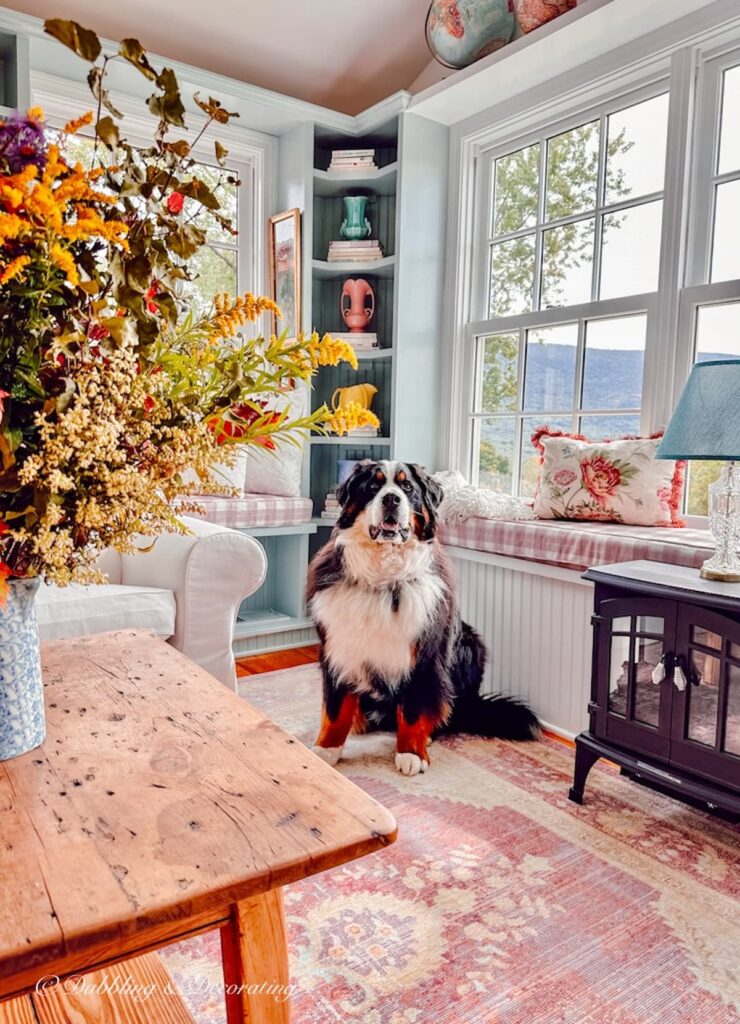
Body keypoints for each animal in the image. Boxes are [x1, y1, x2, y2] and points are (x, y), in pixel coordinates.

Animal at [307, 458, 540, 774]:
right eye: (373, 486)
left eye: (407, 488)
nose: (391, 499)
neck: (383, 578)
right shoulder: (338, 647)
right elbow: (334, 709)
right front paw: (327, 749)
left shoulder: (424, 655)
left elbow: (415, 709)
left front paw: (411, 753)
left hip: (471, 644)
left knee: (447, 710)